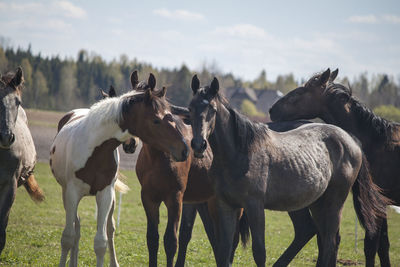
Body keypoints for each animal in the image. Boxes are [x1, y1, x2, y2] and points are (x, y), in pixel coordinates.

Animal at [50, 71, 189, 267]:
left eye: (170, 115)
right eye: (156, 120)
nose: (184, 149)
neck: (94, 147)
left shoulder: (105, 194)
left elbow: (101, 241)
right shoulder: (71, 193)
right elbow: (68, 237)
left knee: (106, 228)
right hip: (67, 195)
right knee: (75, 228)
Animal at [189, 76, 390, 267]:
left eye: (212, 109)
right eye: (191, 108)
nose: (199, 145)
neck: (240, 152)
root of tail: (351, 139)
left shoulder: (254, 206)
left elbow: (259, 253)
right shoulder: (226, 206)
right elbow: (224, 251)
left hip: (334, 202)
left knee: (329, 242)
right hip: (318, 203)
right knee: (325, 240)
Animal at [270, 68, 398, 266]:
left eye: (299, 93)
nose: (271, 110)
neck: (375, 140)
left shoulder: (378, 204)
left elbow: (372, 245)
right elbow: (381, 245)